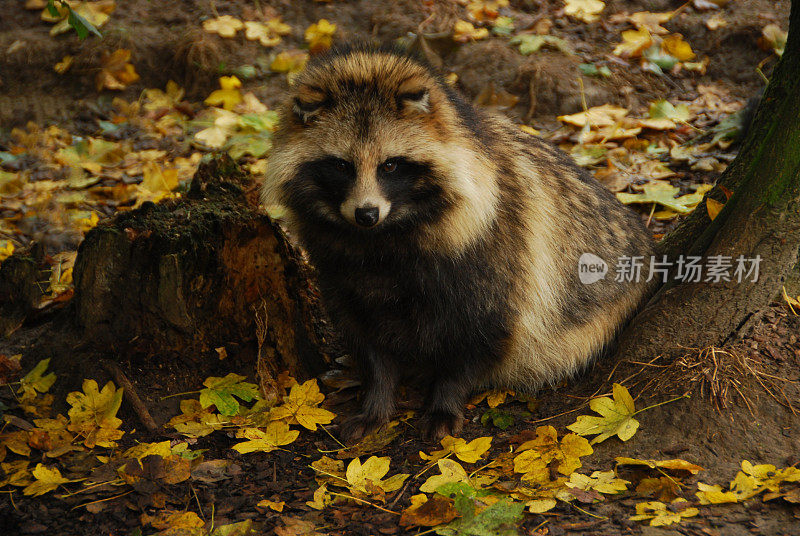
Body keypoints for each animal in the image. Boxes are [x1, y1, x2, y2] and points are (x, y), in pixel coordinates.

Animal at [264, 45, 656, 440]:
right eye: (342, 166)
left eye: (390, 165)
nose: (366, 213)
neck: (385, 238)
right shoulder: (338, 264)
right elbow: (366, 335)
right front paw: (376, 398)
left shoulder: (496, 248)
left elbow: (481, 333)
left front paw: (445, 398)